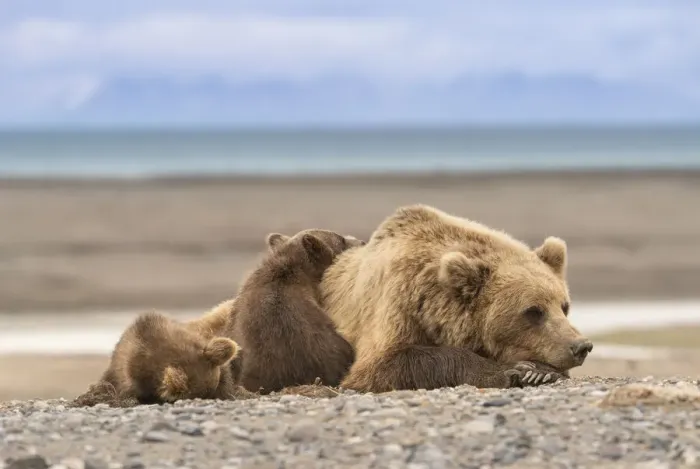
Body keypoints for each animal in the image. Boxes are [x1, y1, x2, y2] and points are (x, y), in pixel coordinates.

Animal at [319, 203, 594, 393]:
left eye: (564, 306)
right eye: (533, 311)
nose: (581, 346)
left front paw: (542, 373)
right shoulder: (396, 302)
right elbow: (382, 365)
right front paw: (516, 370)